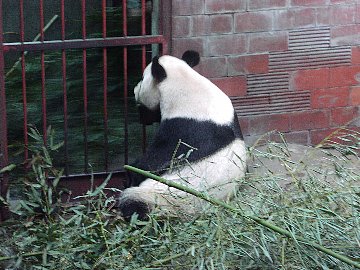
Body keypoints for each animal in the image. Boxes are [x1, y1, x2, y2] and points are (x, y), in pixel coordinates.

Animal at [119, 50, 246, 219]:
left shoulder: (186, 127)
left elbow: (156, 160)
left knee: (135, 202)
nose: (134, 89)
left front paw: (131, 173)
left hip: (160, 197)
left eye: (142, 78)